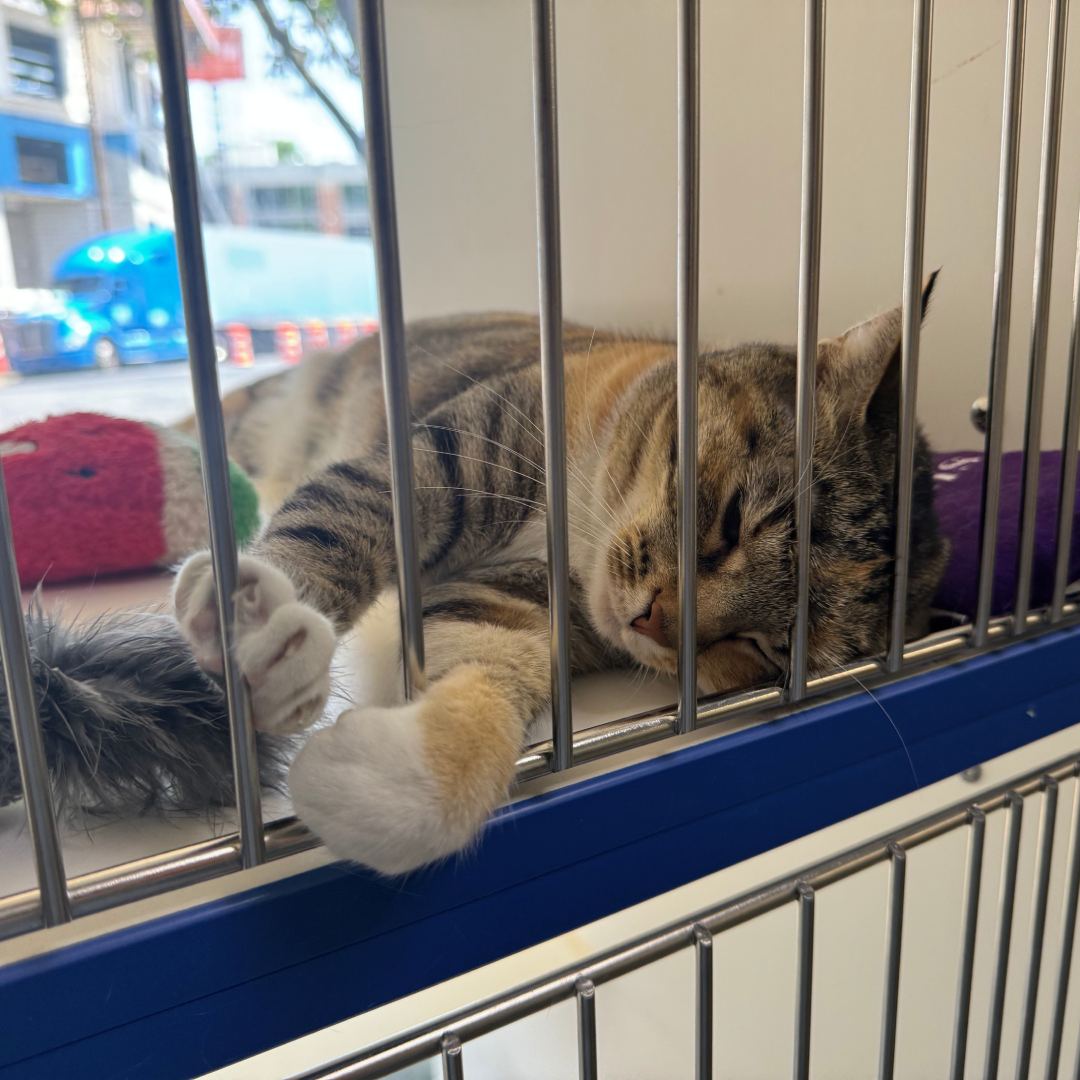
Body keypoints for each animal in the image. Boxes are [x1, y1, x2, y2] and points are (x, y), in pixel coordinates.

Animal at [170, 280, 946, 876]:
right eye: (731, 522)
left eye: (769, 649)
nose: (652, 621)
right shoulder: (461, 452)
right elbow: (343, 515)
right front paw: (264, 634)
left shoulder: (508, 601)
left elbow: (484, 676)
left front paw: (374, 786)